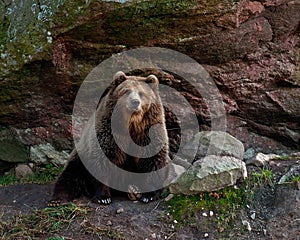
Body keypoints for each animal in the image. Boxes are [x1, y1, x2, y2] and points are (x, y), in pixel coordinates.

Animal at [49, 70, 171, 205]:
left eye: (142, 93)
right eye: (126, 91)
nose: (135, 102)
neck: (131, 124)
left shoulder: (148, 132)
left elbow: (153, 159)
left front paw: (148, 195)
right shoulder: (109, 132)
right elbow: (102, 161)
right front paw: (103, 197)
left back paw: (134, 190)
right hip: (80, 156)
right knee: (71, 173)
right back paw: (57, 199)